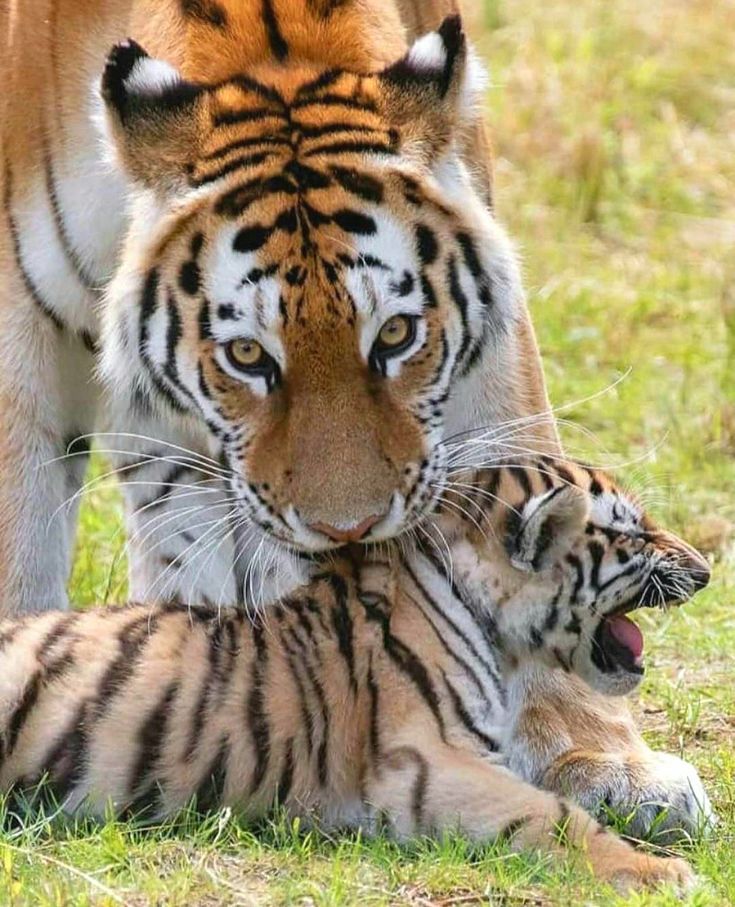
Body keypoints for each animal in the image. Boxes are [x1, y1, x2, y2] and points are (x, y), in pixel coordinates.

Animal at [0, 0, 712, 845]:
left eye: (397, 334)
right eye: (247, 353)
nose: (349, 529)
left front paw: (601, 761)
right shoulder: (20, 314)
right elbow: (20, 542)